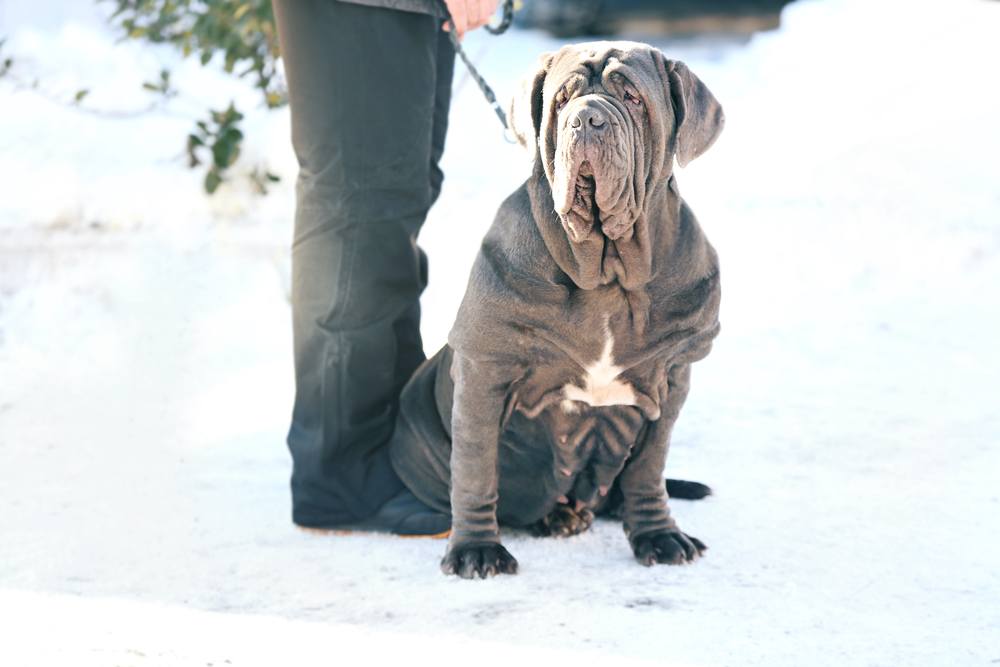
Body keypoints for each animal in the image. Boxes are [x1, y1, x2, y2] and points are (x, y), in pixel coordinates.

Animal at [386, 39, 724, 576]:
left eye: (632, 97)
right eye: (562, 100)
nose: (586, 118)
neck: (608, 273)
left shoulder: (673, 376)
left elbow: (649, 466)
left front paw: (659, 535)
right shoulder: (484, 369)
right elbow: (476, 467)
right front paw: (475, 549)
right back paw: (554, 519)